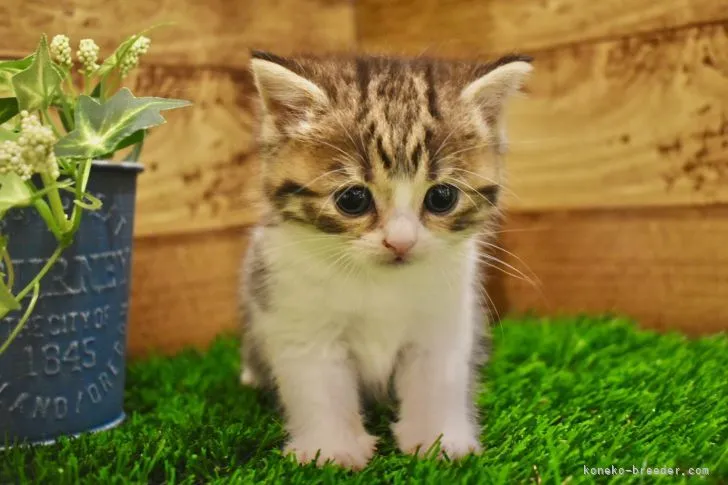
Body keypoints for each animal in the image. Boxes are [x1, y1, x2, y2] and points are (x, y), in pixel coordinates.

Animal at [242, 50, 532, 468]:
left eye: (442, 197)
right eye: (352, 199)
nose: (401, 242)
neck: (380, 282)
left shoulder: (446, 316)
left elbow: (438, 377)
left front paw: (437, 440)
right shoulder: (296, 314)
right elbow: (318, 384)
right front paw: (332, 449)